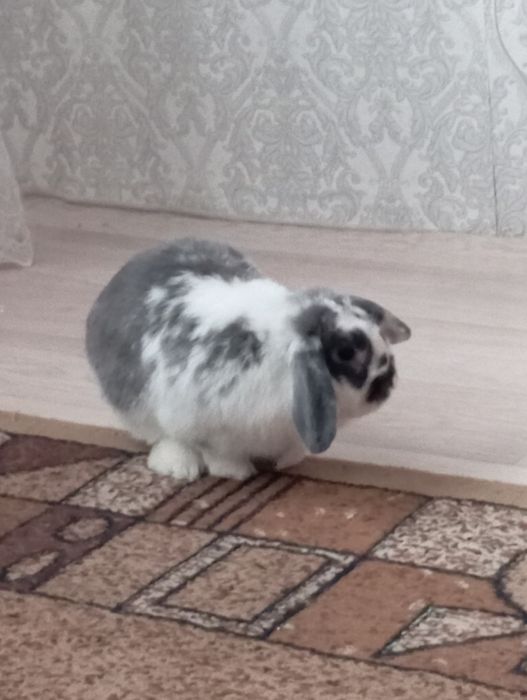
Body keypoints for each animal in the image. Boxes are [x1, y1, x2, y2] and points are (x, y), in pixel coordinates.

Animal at [86, 238, 411, 482]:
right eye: (345, 352)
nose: (388, 383)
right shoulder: (205, 423)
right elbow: (218, 453)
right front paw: (237, 473)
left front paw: (289, 461)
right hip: (137, 407)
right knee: (163, 438)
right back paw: (181, 468)